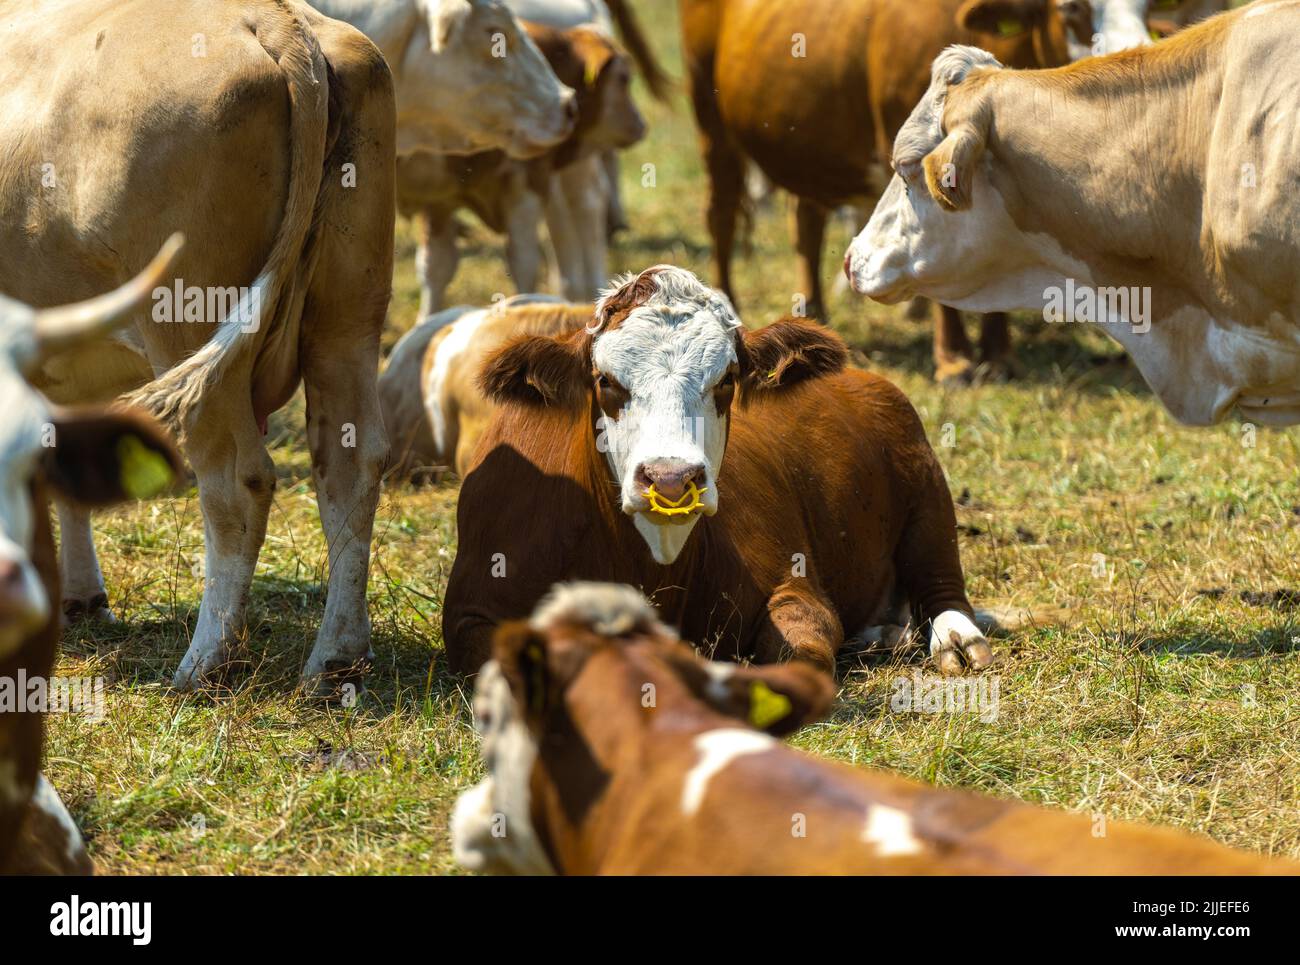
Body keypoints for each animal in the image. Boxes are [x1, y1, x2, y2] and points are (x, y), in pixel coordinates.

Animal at [397, 23, 646, 316]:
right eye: (624, 78)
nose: (641, 125)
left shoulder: (528, 182)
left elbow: (523, 262)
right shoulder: (440, 197)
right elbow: (436, 265)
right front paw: (428, 318)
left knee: (587, 205)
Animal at [441, 265, 994, 679]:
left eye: (726, 379)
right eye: (605, 380)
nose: (669, 479)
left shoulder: (796, 588)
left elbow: (801, 657)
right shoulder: (472, 613)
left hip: (927, 494)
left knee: (941, 585)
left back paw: (955, 638)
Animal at [680, 0, 1225, 383]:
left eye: (1144, 5)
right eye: (1070, 6)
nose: (1136, 56)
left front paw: (999, 354)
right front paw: (955, 360)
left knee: (807, 219)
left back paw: (812, 312)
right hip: (711, 118)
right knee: (721, 212)